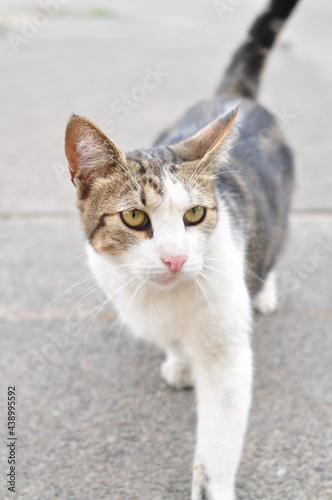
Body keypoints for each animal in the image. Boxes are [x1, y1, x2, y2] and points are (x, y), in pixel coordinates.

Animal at [64, 1, 298, 498]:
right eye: (135, 218)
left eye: (194, 214)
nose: (176, 258)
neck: (165, 298)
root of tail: (233, 95)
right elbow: (171, 340)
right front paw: (178, 360)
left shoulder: (227, 352)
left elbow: (218, 442)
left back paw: (265, 290)